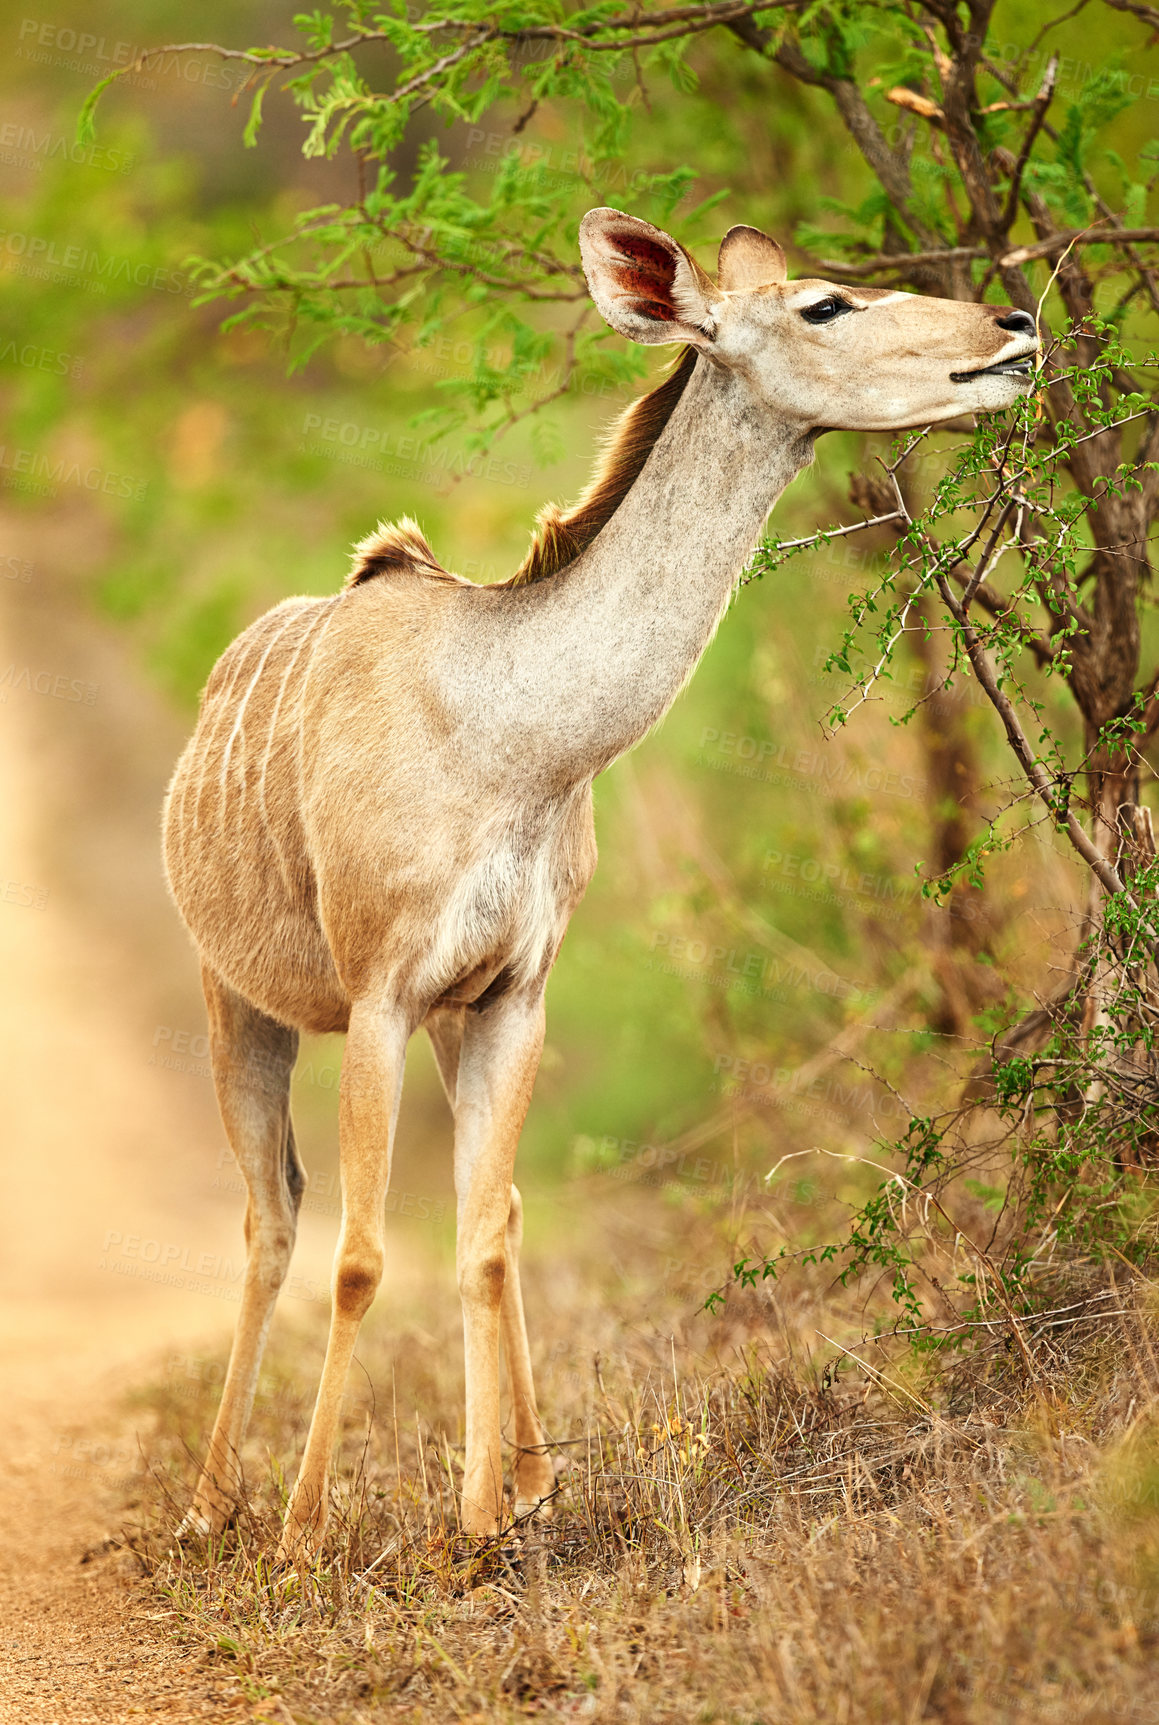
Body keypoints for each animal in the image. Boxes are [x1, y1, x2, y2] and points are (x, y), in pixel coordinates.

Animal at [165, 205, 1041, 1566]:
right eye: (823, 305)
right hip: (236, 998)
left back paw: (518, 1475)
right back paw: (214, 1504)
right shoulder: (376, 991)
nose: (1013, 325)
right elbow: (362, 1254)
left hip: (442, 1022)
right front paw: (308, 1532)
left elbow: (480, 1235)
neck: (512, 731)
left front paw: (484, 1519)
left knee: (486, 1208)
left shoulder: (510, 988)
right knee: (274, 1215)